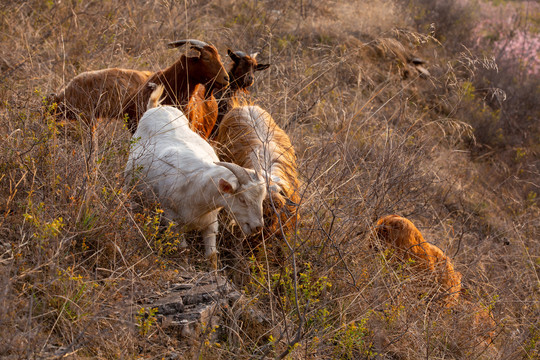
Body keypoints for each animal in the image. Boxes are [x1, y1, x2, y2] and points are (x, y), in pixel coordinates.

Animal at [123, 86, 266, 266]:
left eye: (262, 199)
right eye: (242, 199)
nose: (258, 227)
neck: (198, 189)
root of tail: (156, 107)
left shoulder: (211, 223)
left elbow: (211, 256)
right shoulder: (172, 221)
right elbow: (183, 250)